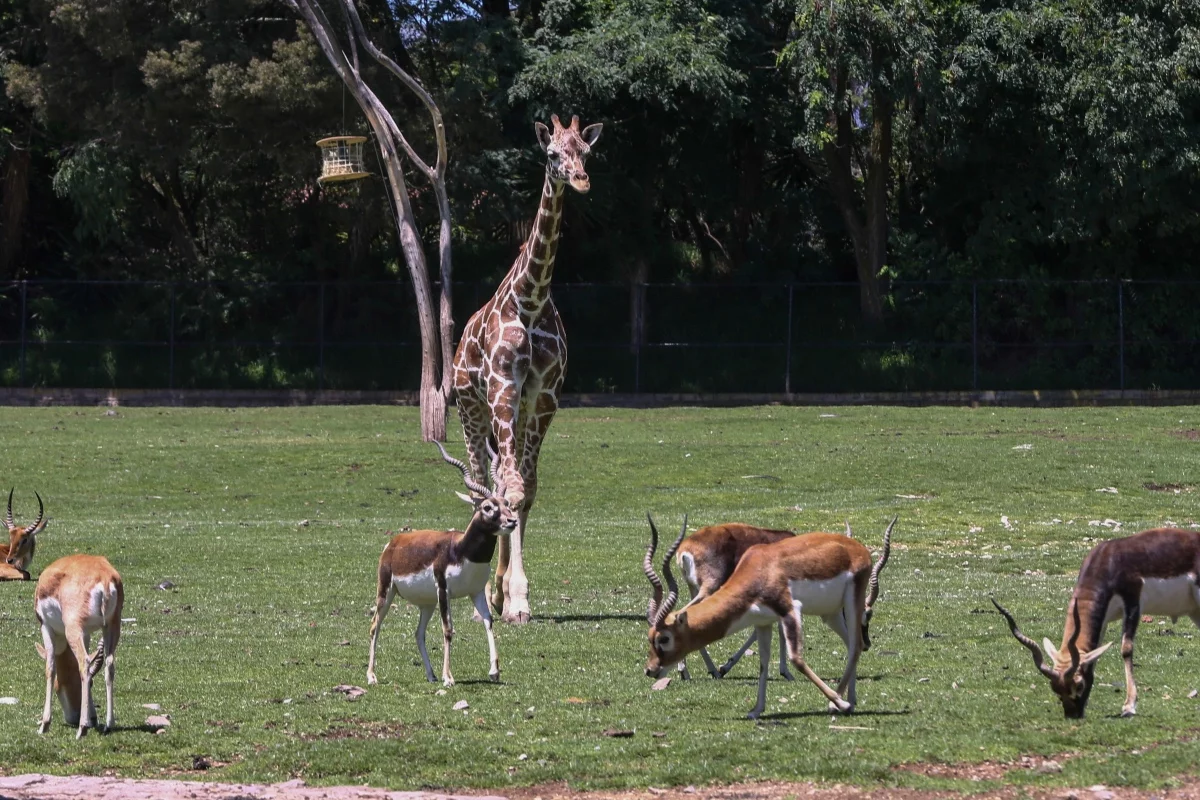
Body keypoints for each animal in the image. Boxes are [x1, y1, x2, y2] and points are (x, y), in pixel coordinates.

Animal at [34, 554, 123, 738]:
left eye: (57, 688)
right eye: (91, 685)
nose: (74, 718)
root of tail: (104, 577)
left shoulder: (45, 626)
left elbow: (50, 668)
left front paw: (44, 724)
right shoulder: (87, 633)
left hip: (74, 630)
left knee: (84, 663)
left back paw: (82, 729)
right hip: (112, 626)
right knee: (109, 665)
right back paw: (108, 725)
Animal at [366, 442, 517, 688]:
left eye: (505, 503)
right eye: (487, 507)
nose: (512, 521)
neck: (462, 551)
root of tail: (395, 542)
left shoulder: (476, 591)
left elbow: (488, 621)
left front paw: (494, 671)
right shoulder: (444, 590)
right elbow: (448, 629)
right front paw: (449, 677)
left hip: (427, 603)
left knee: (418, 633)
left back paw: (431, 674)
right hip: (386, 592)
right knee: (374, 626)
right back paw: (371, 676)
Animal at [451, 114, 602, 624]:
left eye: (586, 151)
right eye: (553, 153)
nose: (581, 179)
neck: (531, 301)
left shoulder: (545, 395)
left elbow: (526, 490)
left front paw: (511, 595)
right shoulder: (502, 387)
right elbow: (509, 487)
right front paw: (515, 600)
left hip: (510, 411)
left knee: (501, 477)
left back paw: (495, 591)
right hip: (471, 406)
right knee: (483, 479)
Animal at [644, 514, 896, 718]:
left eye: (663, 638)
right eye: (652, 638)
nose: (650, 670)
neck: (758, 570)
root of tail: (857, 549)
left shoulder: (786, 610)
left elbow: (793, 657)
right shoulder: (769, 618)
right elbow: (765, 660)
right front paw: (756, 707)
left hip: (845, 604)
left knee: (853, 645)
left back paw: (843, 701)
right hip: (831, 613)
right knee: (853, 644)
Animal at [993, 527, 1200, 719]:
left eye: (1078, 684)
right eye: (1055, 689)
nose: (1072, 714)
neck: (1109, 562)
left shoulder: (1133, 603)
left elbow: (1126, 649)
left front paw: (1129, 706)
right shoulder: (1104, 618)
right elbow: (1094, 657)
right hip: (1194, 611)